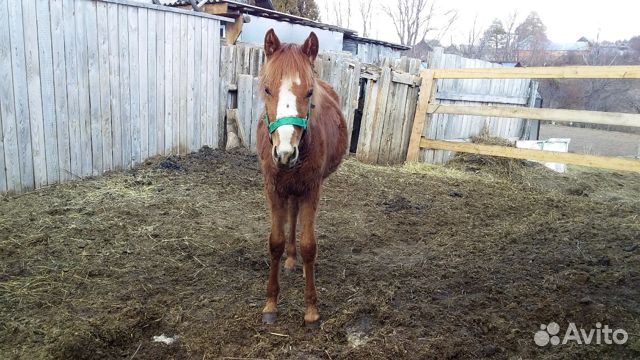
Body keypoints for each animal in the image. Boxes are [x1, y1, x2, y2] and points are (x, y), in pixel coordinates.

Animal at [255, 29, 348, 328]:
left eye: (309, 92)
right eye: (267, 89)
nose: (285, 153)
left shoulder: (311, 189)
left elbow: (309, 246)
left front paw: (311, 310)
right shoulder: (273, 188)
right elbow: (275, 242)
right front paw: (271, 305)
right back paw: (289, 259)